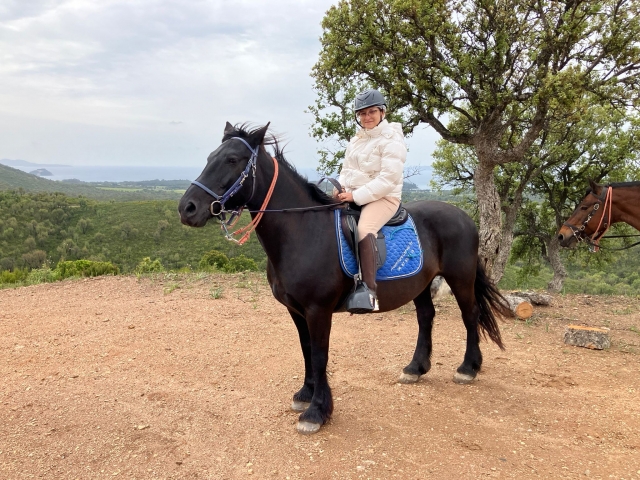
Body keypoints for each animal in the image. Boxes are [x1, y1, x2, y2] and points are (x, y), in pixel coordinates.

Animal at [178, 122, 511, 435]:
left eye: (232, 159)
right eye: (210, 158)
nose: (187, 208)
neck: (302, 231)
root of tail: (464, 216)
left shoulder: (318, 310)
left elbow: (320, 355)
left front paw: (316, 412)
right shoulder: (296, 310)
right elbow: (306, 350)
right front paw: (305, 394)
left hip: (460, 278)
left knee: (470, 315)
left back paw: (468, 368)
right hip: (420, 283)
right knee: (426, 317)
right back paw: (416, 368)